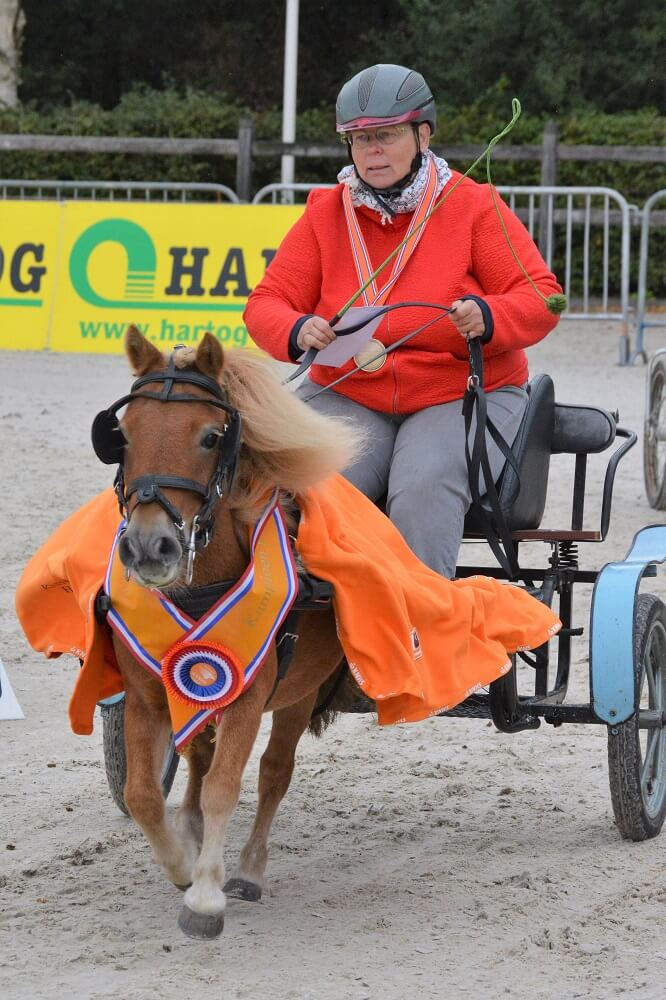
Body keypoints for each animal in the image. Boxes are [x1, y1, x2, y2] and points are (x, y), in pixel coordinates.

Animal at [103, 326, 362, 939]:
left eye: (211, 436)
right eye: (123, 434)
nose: (148, 547)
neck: (201, 589)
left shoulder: (247, 692)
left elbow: (228, 785)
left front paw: (205, 894)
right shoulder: (147, 694)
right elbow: (143, 793)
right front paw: (180, 861)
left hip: (298, 695)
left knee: (273, 772)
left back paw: (247, 868)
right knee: (199, 757)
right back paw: (193, 829)